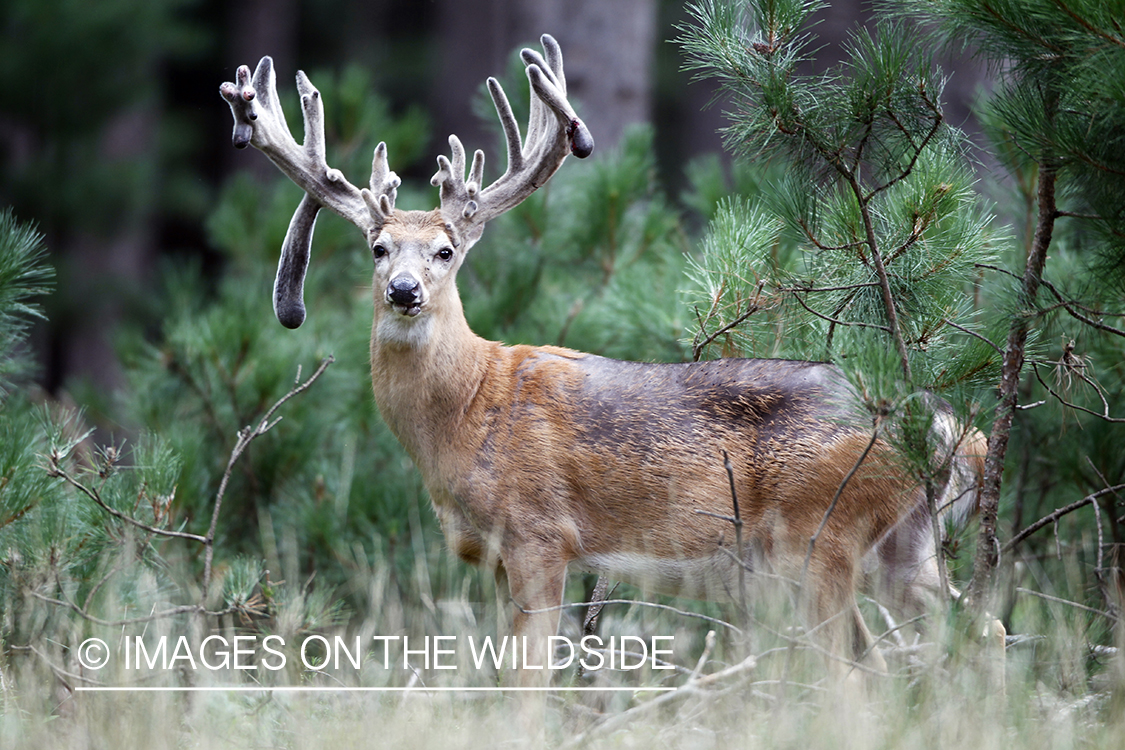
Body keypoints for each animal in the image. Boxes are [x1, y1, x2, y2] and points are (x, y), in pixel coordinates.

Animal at [221, 36, 1003, 688]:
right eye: (378, 248)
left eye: (445, 251)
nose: (404, 291)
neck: (468, 408)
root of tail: (949, 427)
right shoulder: (495, 556)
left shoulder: (540, 534)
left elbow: (526, 683)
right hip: (903, 547)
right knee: (973, 629)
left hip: (819, 534)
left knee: (856, 667)